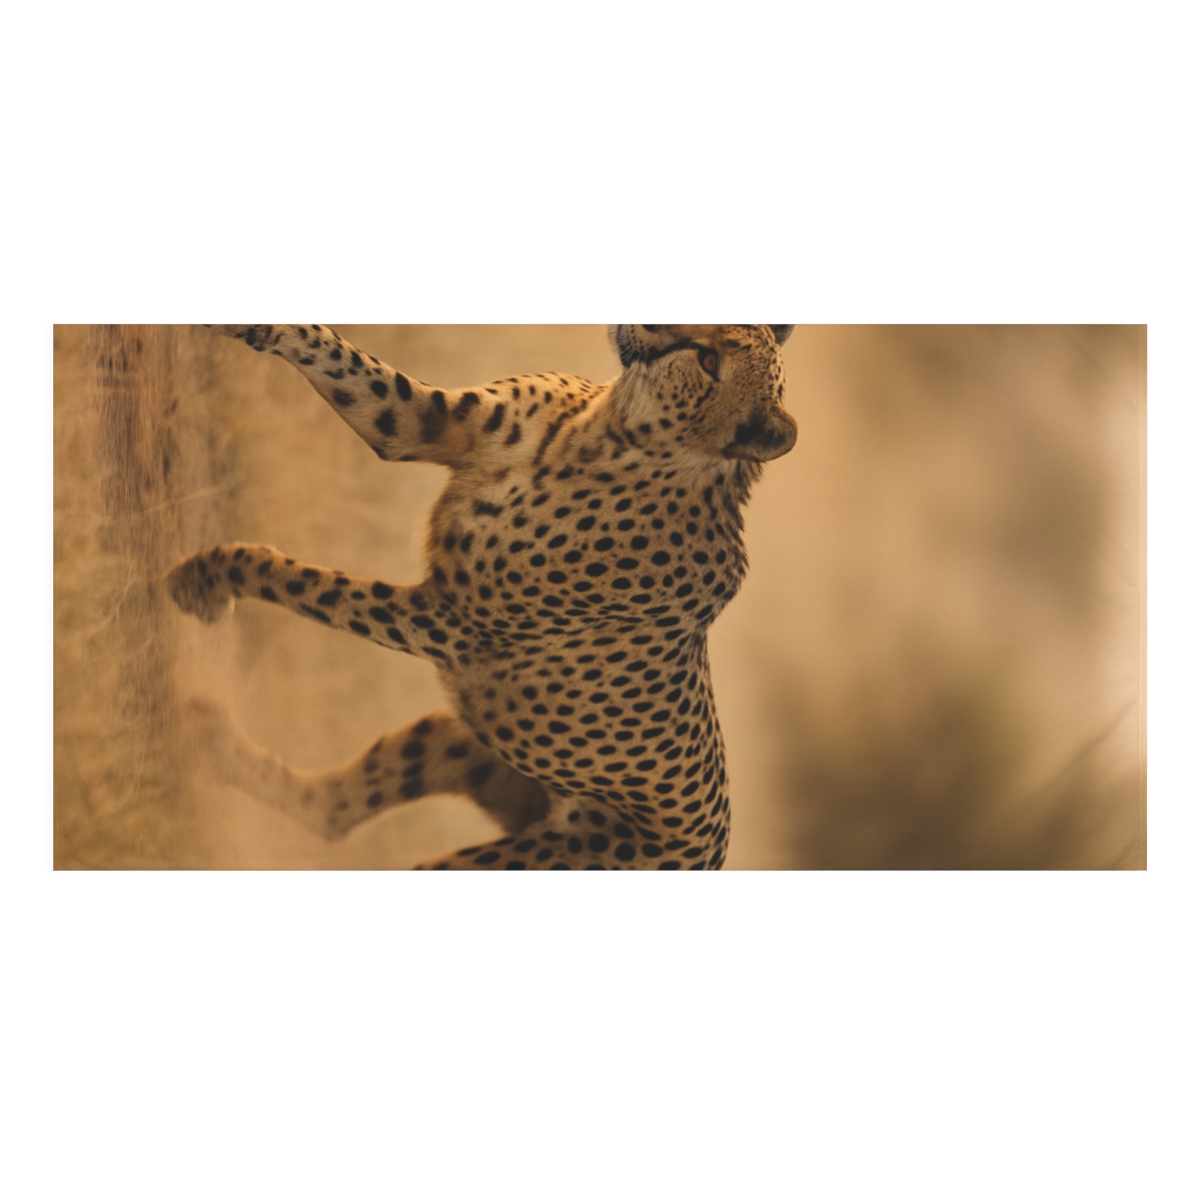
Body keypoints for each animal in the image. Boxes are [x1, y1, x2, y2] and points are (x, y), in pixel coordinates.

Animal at [168, 323, 797, 869]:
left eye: (710, 362)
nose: (649, 325)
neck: (612, 432)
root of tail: (714, 852)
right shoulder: (421, 420)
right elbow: (335, 351)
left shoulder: (447, 622)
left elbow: (309, 583)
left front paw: (208, 579)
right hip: (458, 740)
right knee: (334, 813)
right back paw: (208, 743)